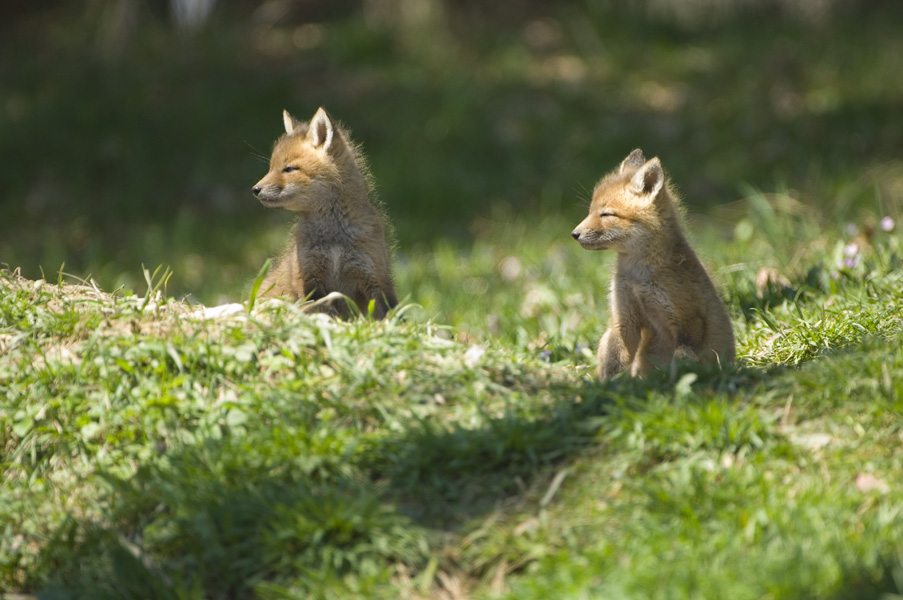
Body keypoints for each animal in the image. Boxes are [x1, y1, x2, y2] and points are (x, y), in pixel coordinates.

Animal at [252, 107, 398, 319]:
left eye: (289, 169)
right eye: (271, 167)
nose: (255, 189)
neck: (334, 239)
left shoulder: (374, 277)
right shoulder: (308, 278)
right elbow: (323, 311)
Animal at [571, 149, 735, 379]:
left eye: (607, 214)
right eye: (590, 211)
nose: (574, 234)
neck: (638, 277)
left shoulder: (688, 320)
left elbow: (682, 361)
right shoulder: (624, 319)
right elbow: (614, 364)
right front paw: (609, 385)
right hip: (607, 334)